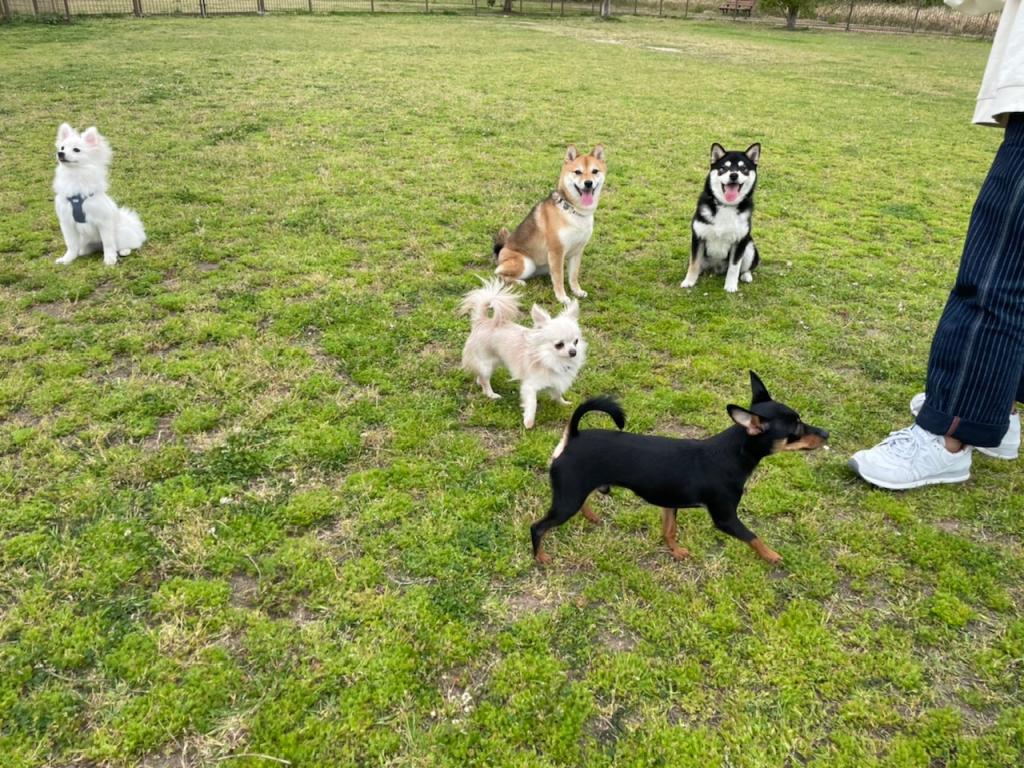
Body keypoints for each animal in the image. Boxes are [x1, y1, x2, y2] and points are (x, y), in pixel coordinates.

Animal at [52, 123, 145, 268]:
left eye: (76, 150)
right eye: (62, 148)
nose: (60, 153)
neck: (75, 176)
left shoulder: (103, 222)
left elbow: (108, 244)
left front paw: (109, 260)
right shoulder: (67, 223)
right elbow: (71, 245)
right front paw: (67, 259)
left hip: (120, 233)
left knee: (128, 244)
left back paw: (124, 250)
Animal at [462, 280, 589, 430]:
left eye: (576, 341)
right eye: (559, 345)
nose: (573, 352)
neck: (552, 359)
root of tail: (482, 321)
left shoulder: (556, 381)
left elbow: (557, 394)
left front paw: (563, 403)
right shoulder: (530, 386)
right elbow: (532, 403)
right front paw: (528, 422)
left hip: (493, 362)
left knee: (480, 376)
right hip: (486, 364)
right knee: (485, 380)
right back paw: (491, 394)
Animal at [491, 147, 602, 307]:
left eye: (595, 171)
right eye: (578, 172)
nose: (588, 183)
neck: (573, 211)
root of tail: (501, 251)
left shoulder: (577, 251)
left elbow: (573, 276)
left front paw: (577, 291)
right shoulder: (557, 252)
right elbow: (559, 278)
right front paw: (562, 298)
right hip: (526, 263)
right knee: (498, 274)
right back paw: (518, 282)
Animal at [679, 143, 761, 292]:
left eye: (744, 169)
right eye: (723, 168)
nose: (733, 175)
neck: (726, 206)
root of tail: (717, 268)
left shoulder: (740, 241)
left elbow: (734, 267)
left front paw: (731, 286)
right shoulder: (698, 237)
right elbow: (694, 264)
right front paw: (689, 281)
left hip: (750, 247)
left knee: (745, 268)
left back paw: (746, 276)